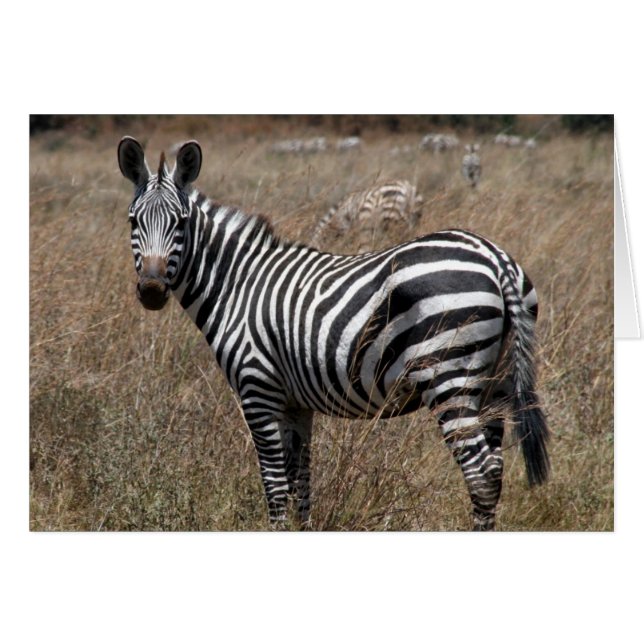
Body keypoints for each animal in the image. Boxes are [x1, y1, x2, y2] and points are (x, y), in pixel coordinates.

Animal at [118, 136, 550, 531]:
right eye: (133, 221)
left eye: (181, 222)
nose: (152, 290)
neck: (238, 285)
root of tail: (495, 258)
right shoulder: (295, 402)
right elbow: (300, 483)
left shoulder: (257, 389)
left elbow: (275, 485)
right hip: (494, 382)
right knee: (495, 469)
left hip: (450, 376)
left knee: (480, 473)